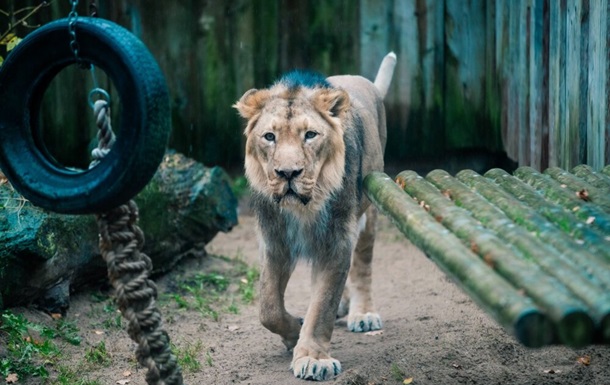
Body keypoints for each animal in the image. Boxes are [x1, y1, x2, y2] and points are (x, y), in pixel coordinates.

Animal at [232, 51, 394, 380]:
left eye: (310, 135)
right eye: (269, 136)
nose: (288, 173)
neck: (303, 208)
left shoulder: (336, 242)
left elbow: (321, 307)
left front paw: (312, 357)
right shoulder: (275, 243)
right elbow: (268, 307)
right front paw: (293, 332)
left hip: (369, 208)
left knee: (363, 265)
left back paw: (362, 313)